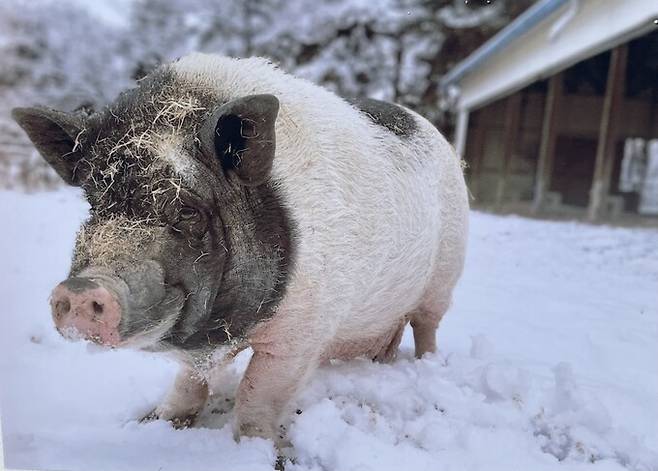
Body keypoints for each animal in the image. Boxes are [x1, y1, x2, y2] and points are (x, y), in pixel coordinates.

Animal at [12, 53, 468, 444]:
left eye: (188, 210)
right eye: (95, 203)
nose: (81, 289)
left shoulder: (301, 332)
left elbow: (256, 395)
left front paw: (256, 448)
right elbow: (190, 382)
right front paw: (159, 422)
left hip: (447, 272)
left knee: (427, 326)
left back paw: (427, 365)